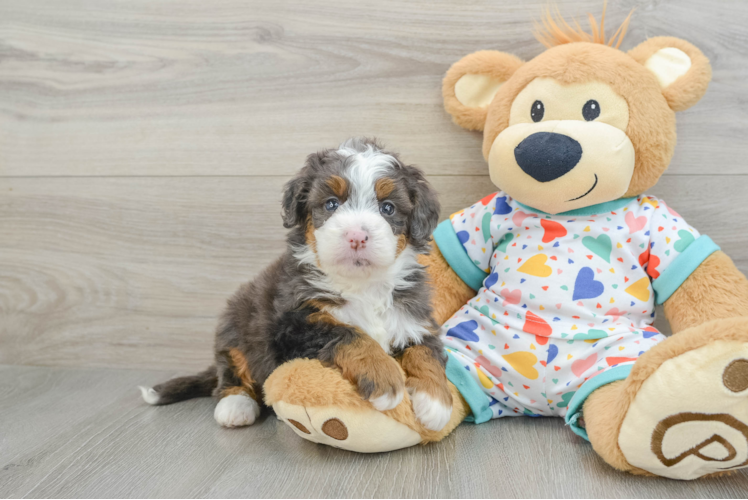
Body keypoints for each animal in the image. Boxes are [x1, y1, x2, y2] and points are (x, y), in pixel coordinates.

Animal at [141, 139, 456, 432]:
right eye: (331, 204)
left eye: (387, 208)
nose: (356, 236)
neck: (363, 285)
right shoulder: (293, 325)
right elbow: (349, 334)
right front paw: (384, 376)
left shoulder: (414, 317)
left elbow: (425, 350)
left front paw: (436, 401)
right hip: (236, 321)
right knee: (232, 367)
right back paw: (235, 404)